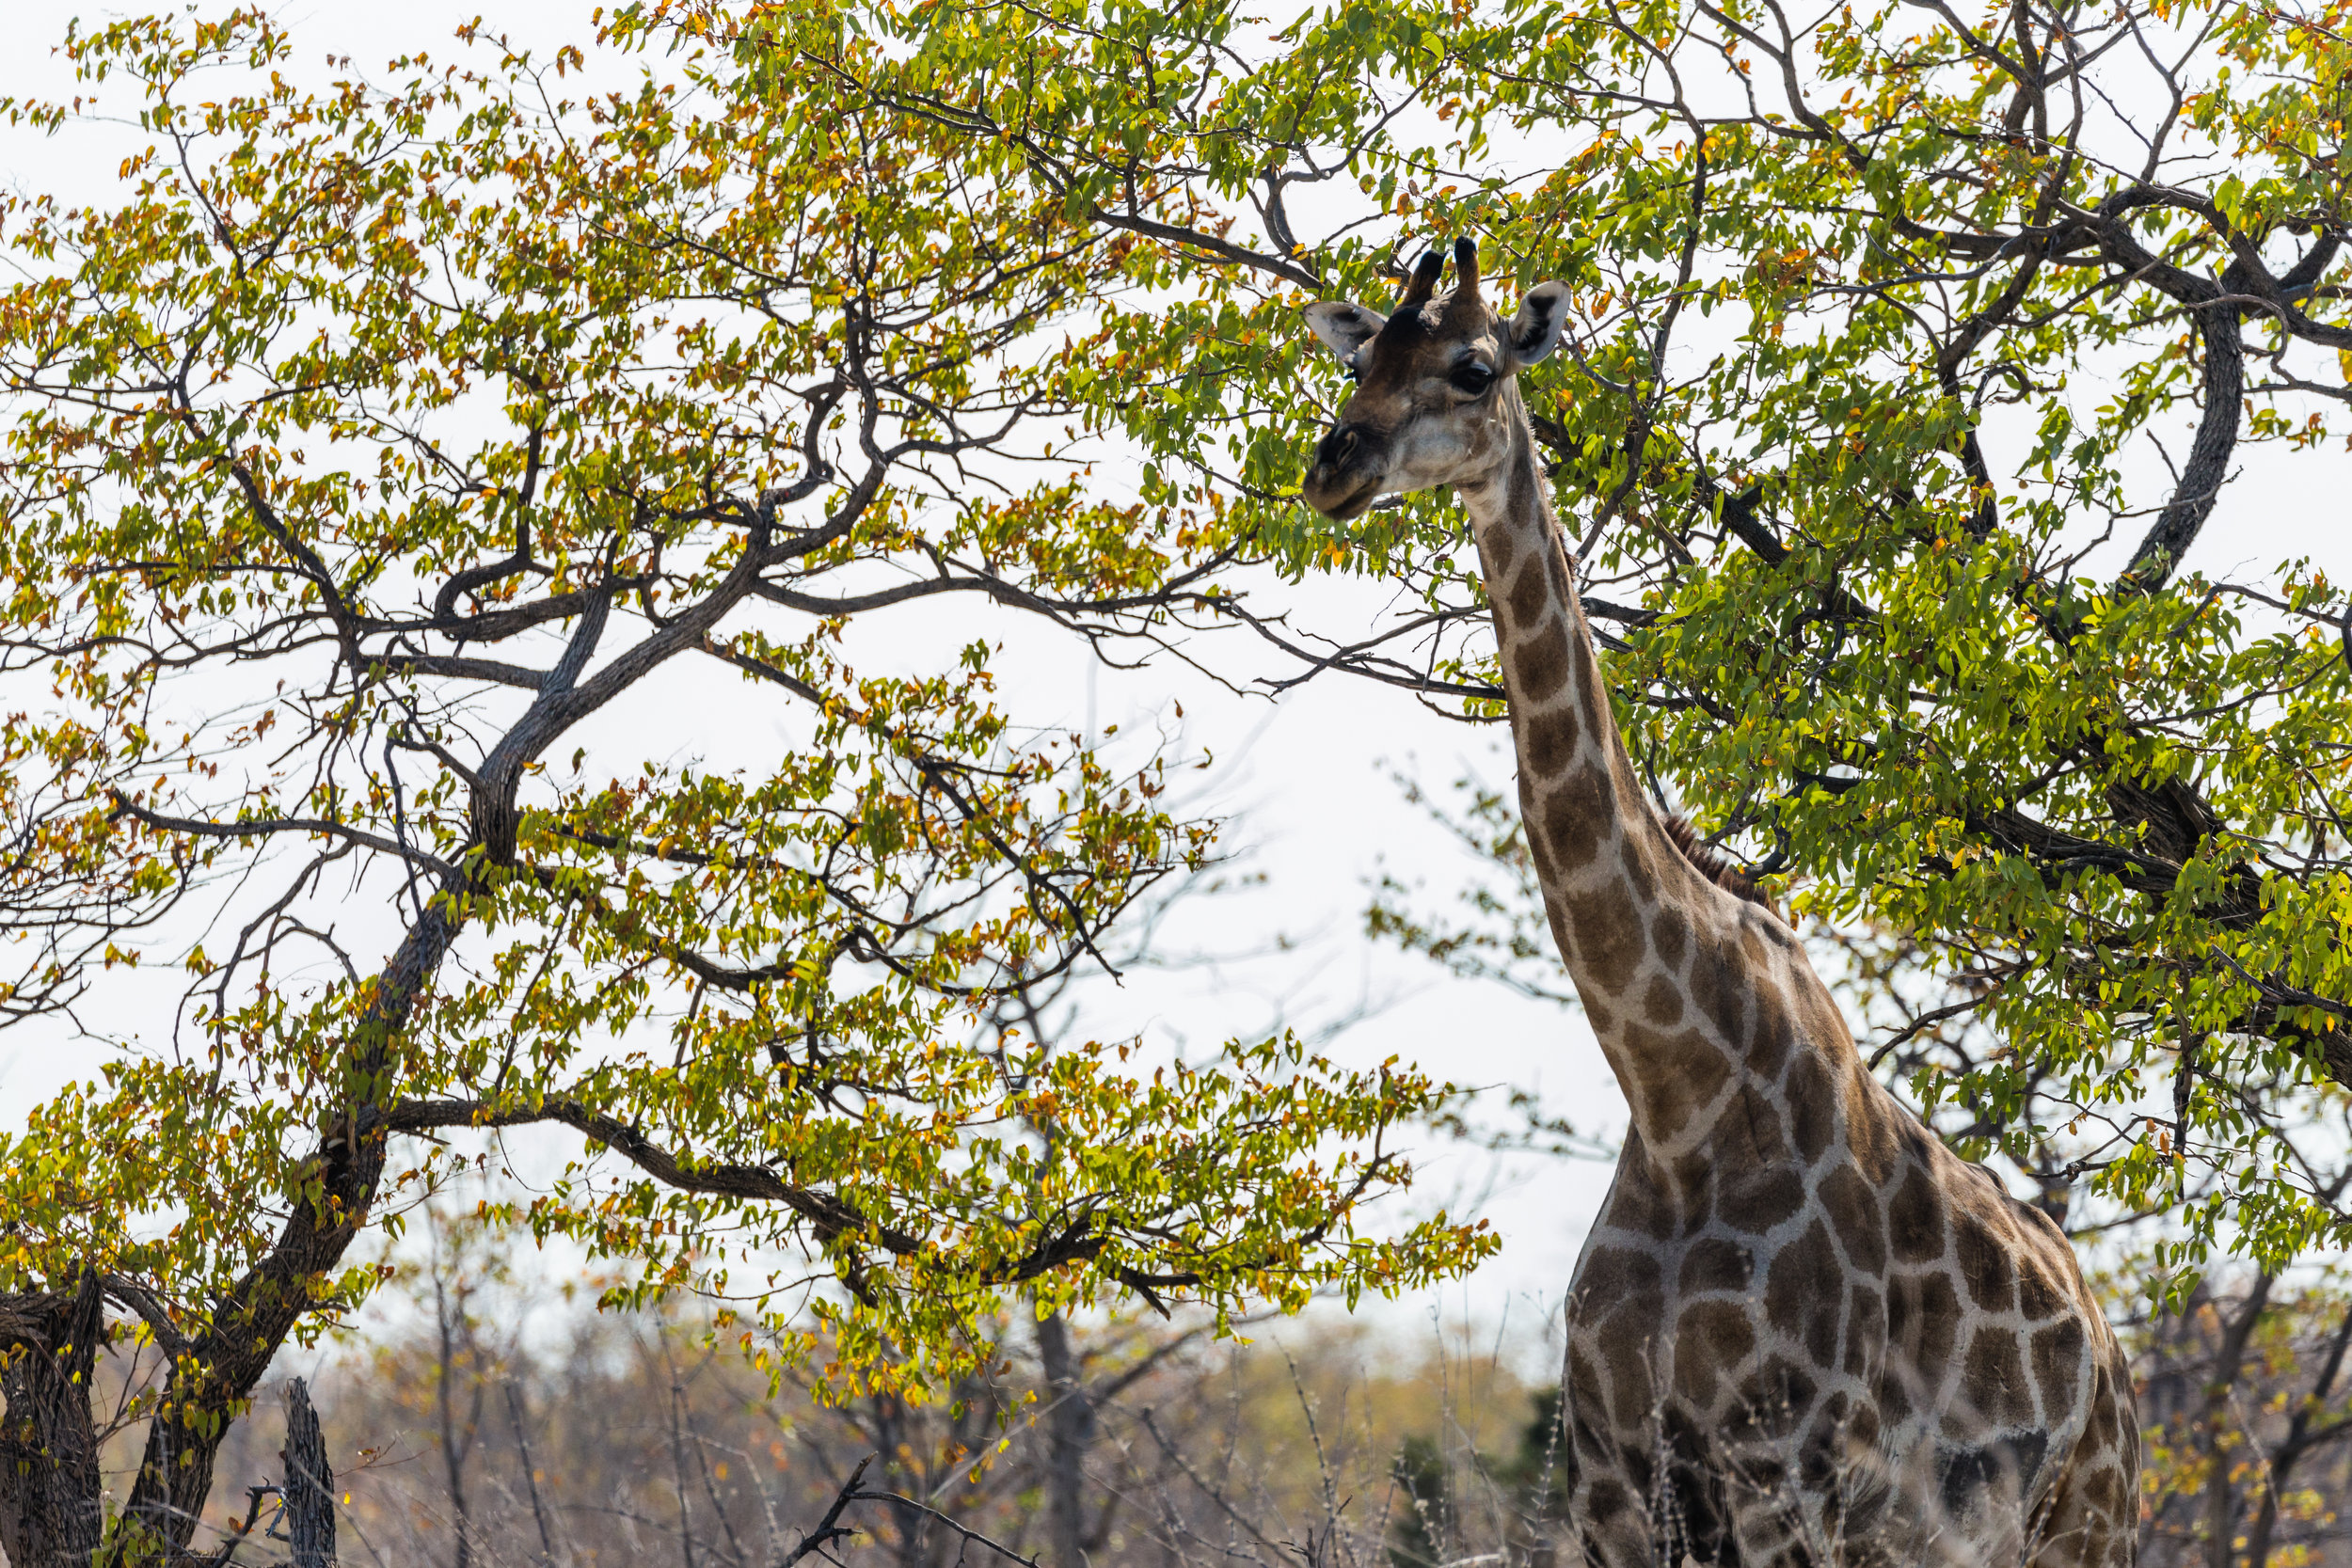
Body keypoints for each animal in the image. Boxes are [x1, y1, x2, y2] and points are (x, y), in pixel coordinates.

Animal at [1298, 239, 2145, 1560]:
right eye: (1358, 361)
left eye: (1472, 365)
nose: (1333, 463)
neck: (1674, 1092)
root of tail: (2112, 1361)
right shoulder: (1612, 1475)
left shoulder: (1778, 1468)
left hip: (2075, 1528)